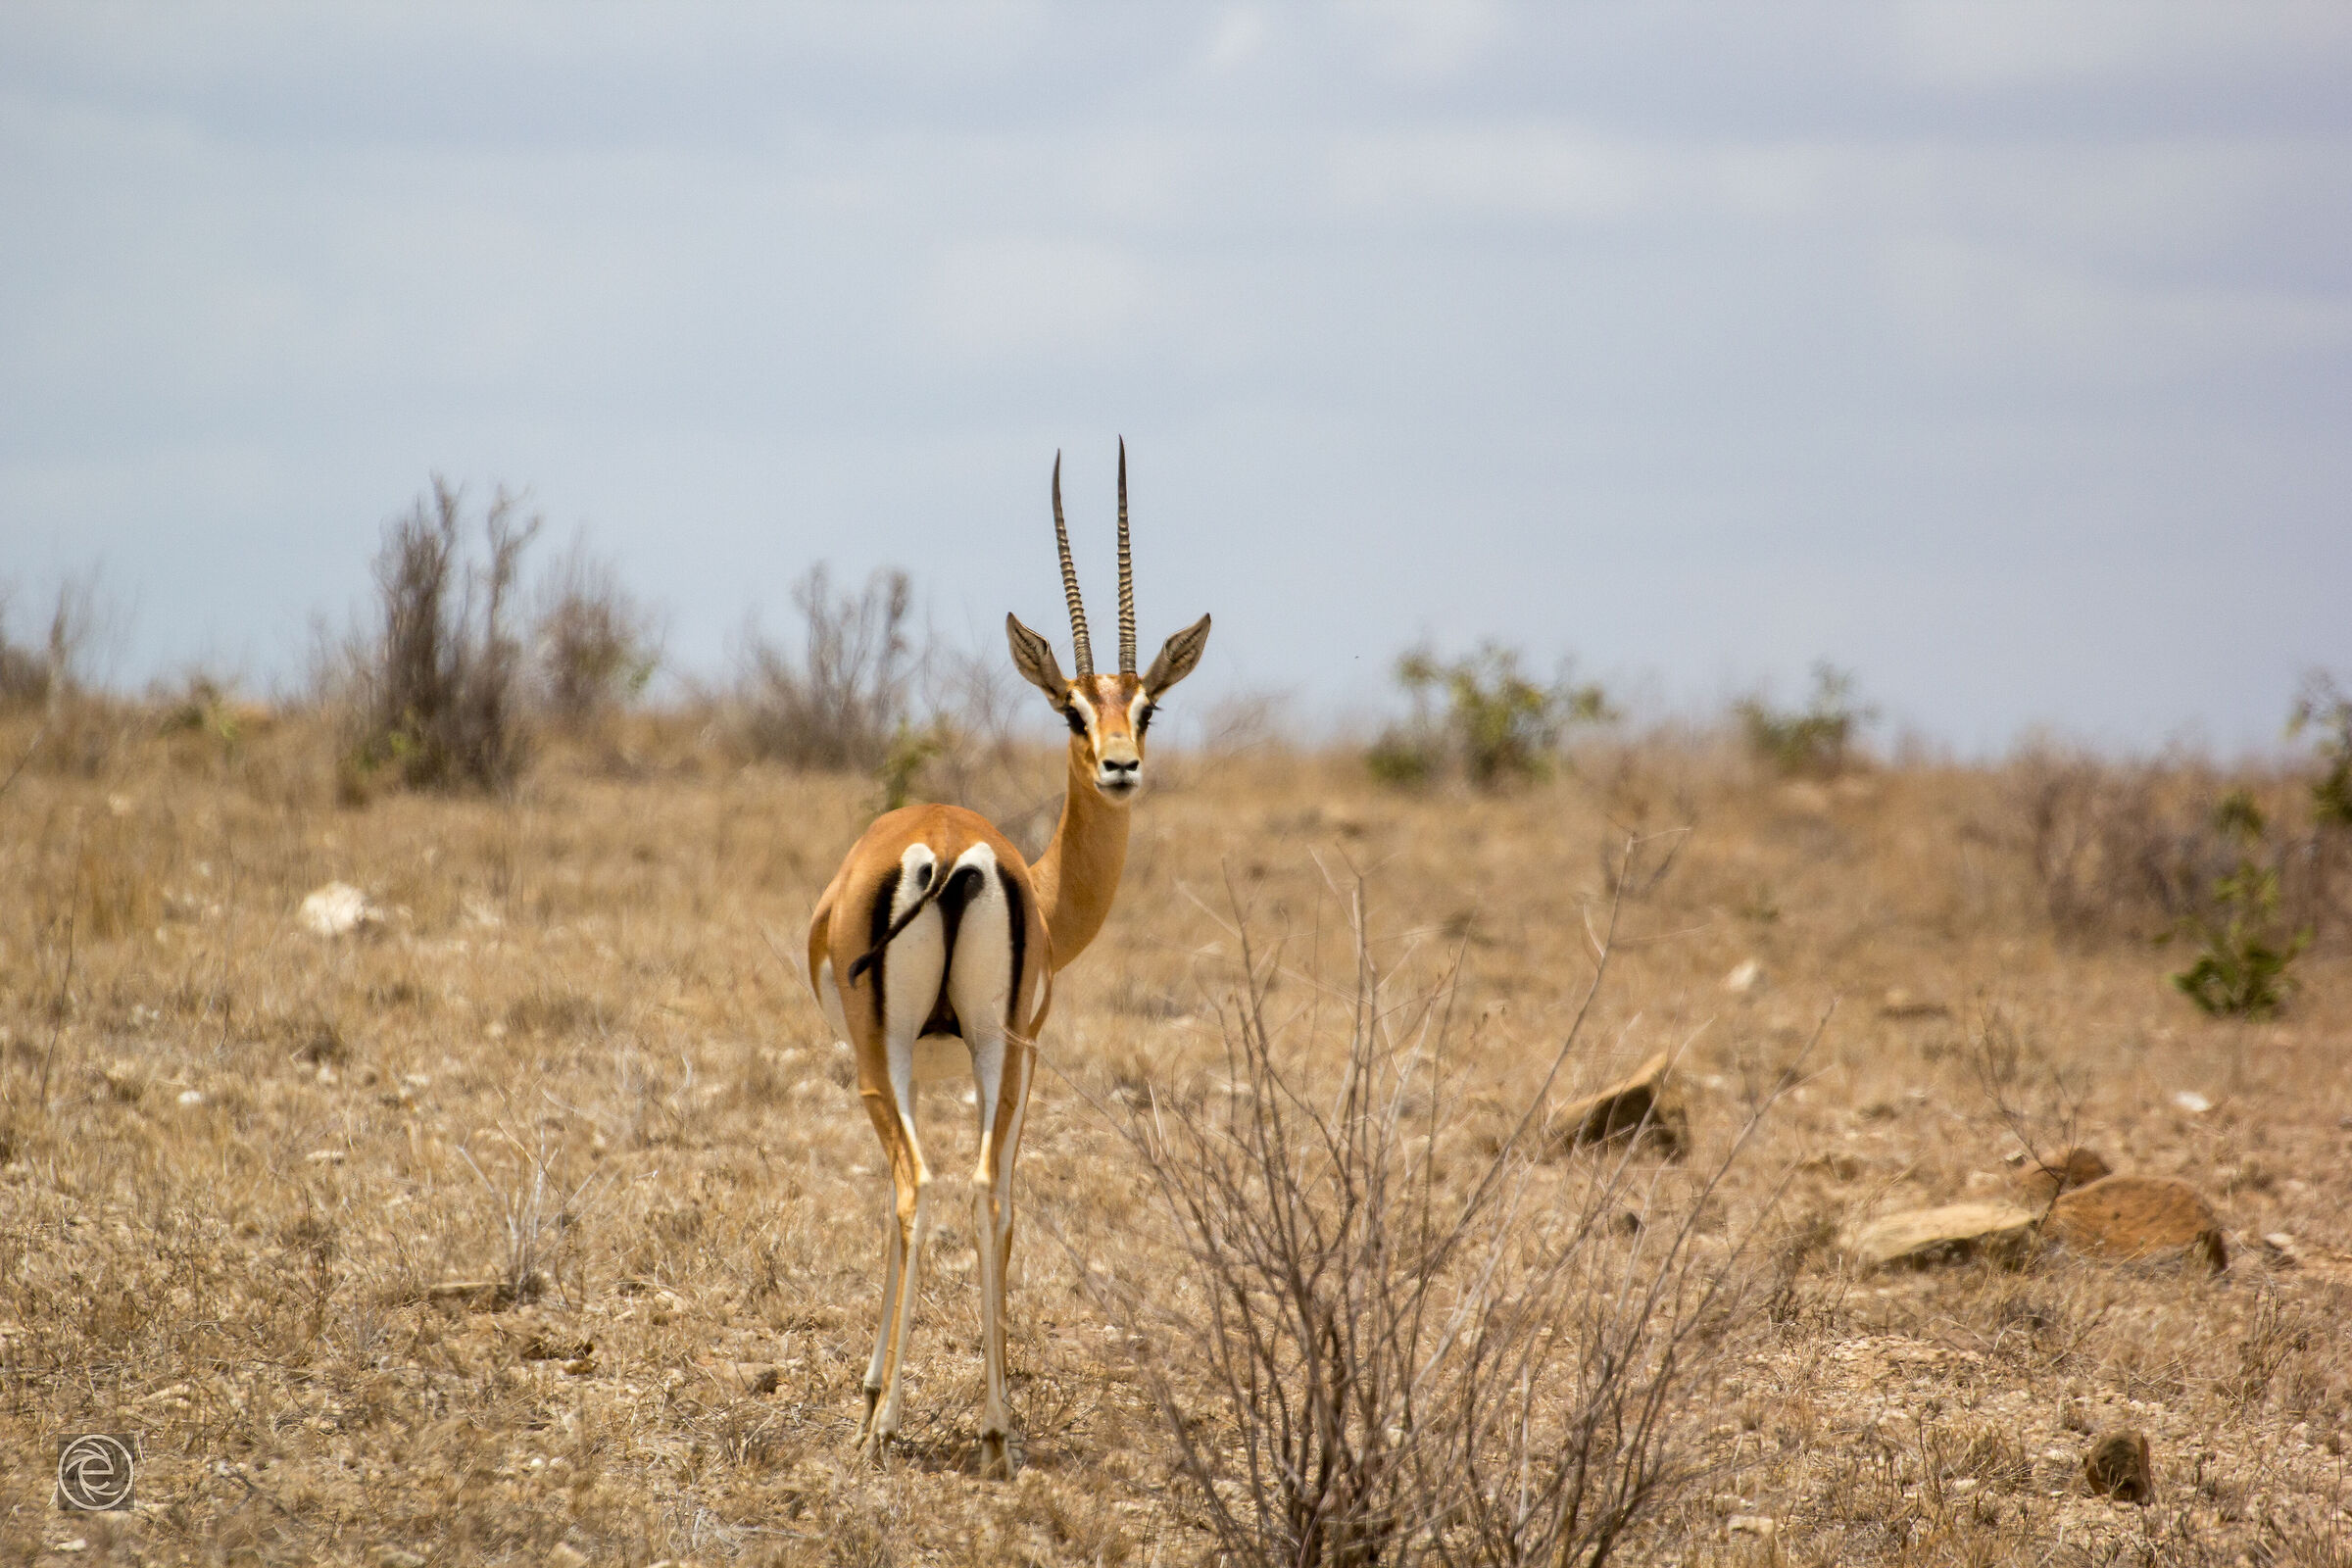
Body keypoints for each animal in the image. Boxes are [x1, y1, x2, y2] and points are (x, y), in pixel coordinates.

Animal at [804, 443, 1209, 1477]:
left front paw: (872, 1390)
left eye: (1148, 706)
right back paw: (992, 1430)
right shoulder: (1016, 1048)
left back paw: (894, 1425)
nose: (1121, 765)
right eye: (1072, 711)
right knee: (982, 1188)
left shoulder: (923, 1057)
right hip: (988, 1050)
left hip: (900, 1053)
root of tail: (950, 850)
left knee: (922, 1186)